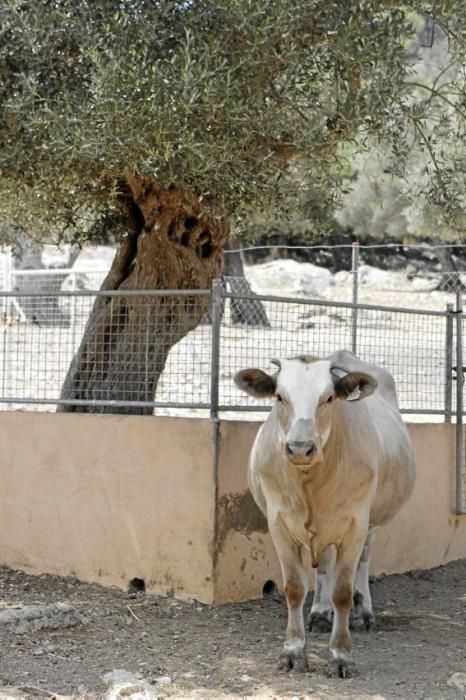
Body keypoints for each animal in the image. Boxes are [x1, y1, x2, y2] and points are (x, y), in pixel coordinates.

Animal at [237, 350, 416, 680]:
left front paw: (341, 655)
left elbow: (342, 591)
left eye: (329, 397)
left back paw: (364, 613)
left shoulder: (356, 524)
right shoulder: (278, 524)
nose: (299, 448)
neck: (310, 483)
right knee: (323, 567)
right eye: (279, 396)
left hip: (371, 523)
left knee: (364, 561)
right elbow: (295, 588)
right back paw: (320, 614)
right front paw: (293, 651)